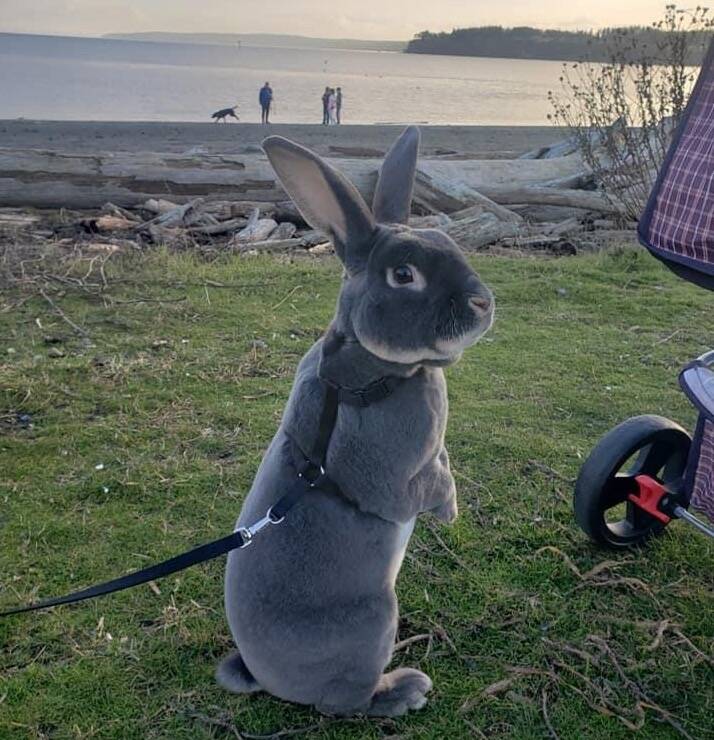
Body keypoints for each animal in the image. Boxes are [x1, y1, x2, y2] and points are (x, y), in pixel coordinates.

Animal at [217, 126, 494, 717]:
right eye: (404, 275)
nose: (484, 304)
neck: (375, 372)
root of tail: (264, 677)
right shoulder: (396, 476)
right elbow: (424, 487)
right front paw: (450, 512)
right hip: (372, 622)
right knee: (346, 701)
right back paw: (404, 690)